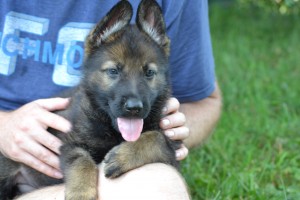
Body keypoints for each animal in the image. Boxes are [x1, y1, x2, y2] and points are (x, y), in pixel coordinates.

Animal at [0, 0, 178, 199]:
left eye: (149, 73)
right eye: (113, 71)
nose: (134, 108)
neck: (112, 130)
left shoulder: (173, 148)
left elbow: (157, 138)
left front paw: (123, 156)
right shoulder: (69, 144)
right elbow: (82, 161)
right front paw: (81, 192)